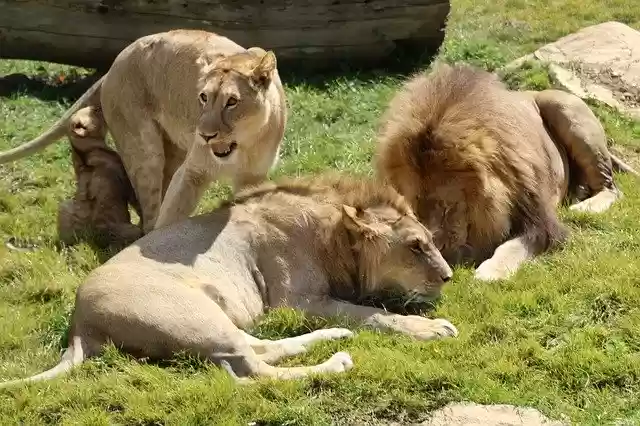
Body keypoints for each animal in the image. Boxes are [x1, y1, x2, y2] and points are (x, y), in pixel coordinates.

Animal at [0, 173, 456, 388]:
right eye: (417, 246)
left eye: (430, 241)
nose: (449, 276)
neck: (333, 235)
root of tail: (78, 322)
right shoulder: (296, 301)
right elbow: (373, 313)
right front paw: (431, 327)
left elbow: (365, 311)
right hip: (191, 315)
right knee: (252, 366)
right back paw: (338, 360)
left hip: (210, 317)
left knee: (257, 347)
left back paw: (335, 336)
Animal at [57, 106, 143, 248]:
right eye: (95, 111)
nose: (98, 105)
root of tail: (91, 239)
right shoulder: (123, 176)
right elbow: (135, 201)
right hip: (129, 230)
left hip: (65, 208)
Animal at [375, 63, 638, 281]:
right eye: (413, 211)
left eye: (449, 207)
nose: (436, 252)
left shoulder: (542, 224)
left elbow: (511, 246)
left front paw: (490, 272)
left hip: (563, 108)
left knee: (611, 187)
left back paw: (585, 207)